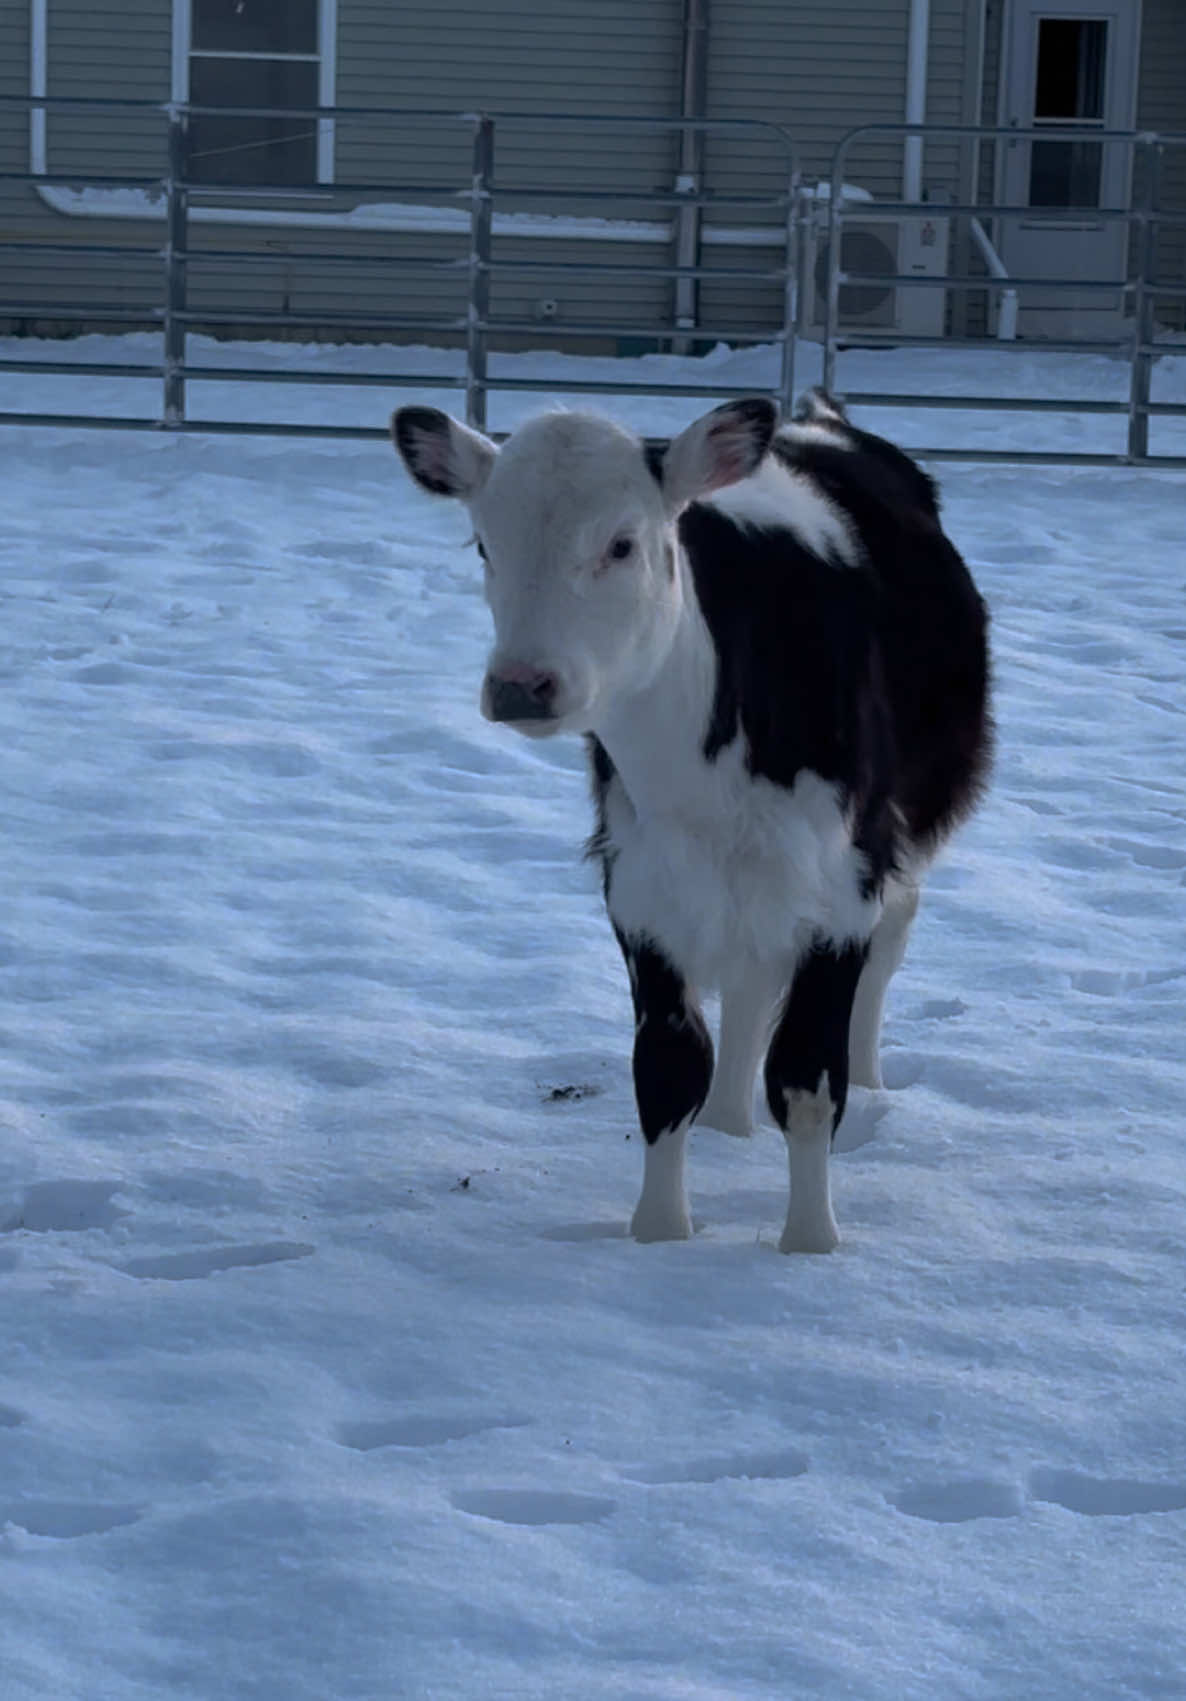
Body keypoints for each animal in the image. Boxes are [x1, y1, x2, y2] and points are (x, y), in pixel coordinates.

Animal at [394, 391, 986, 1258]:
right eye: (483, 544)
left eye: (622, 543)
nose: (520, 685)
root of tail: (822, 417)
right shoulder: (640, 884)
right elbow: (666, 1068)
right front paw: (659, 1235)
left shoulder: (845, 885)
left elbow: (807, 1076)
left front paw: (811, 1244)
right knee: (745, 987)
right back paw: (727, 1124)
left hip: (905, 832)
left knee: (887, 950)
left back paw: (869, 1084)